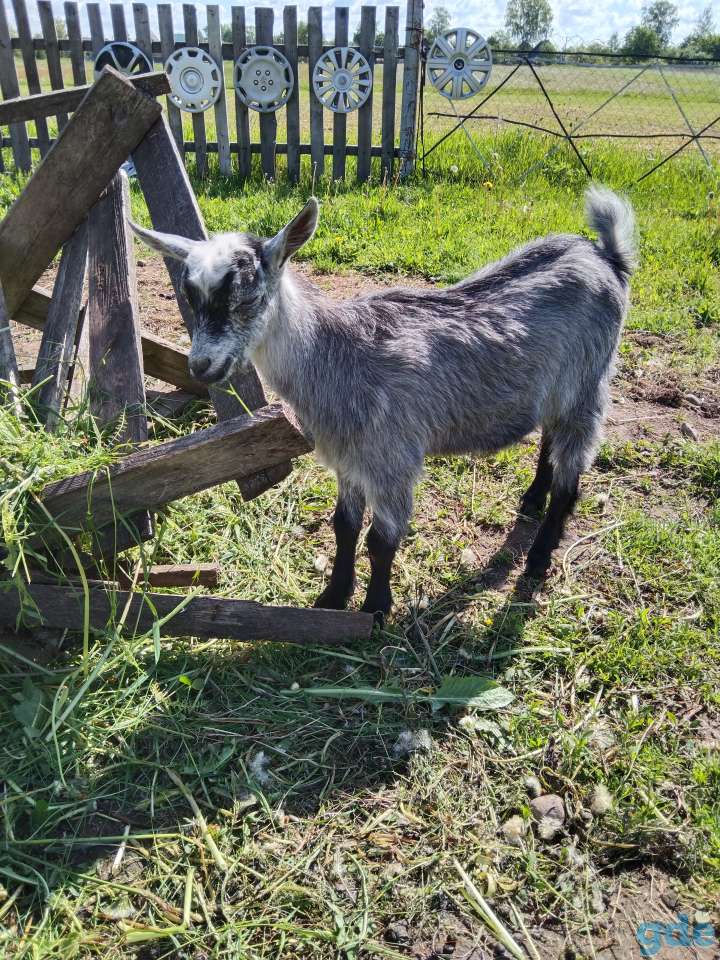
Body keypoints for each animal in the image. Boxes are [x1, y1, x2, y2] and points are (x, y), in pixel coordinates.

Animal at [130, 186, 636, 615]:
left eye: (249, 298)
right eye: (188, 297)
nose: (201, 366)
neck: (337, 354)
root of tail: (603, 256)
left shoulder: (392, 458)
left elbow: (382, 539)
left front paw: (375, 609)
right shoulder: (348, 458)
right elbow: (344, 526)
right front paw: (334, 596)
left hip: (588, 382)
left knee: (573, 472)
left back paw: (539, 556)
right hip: (557, 388)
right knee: (550, 436)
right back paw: (532, 499)